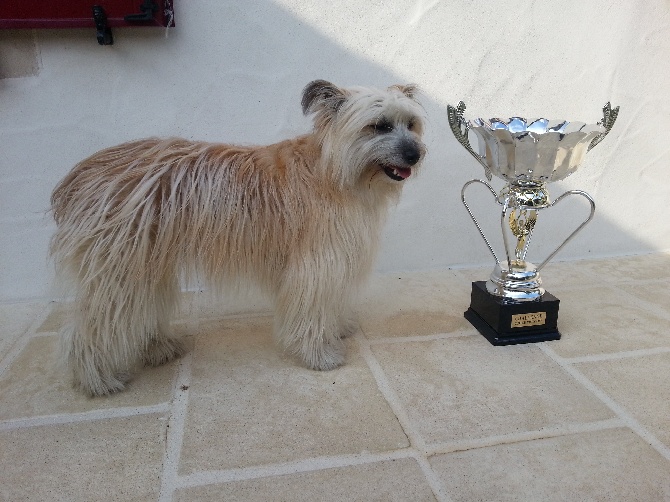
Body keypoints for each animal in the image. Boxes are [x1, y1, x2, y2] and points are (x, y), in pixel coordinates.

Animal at [51, 80, 426, 396]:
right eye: (379, 125)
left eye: (411, 124)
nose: (416, 155)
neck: (334, 171)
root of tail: (82, 171)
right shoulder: (316, 264)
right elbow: (309, 309)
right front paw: (317, 353)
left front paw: (336, 327)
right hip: (120, 268)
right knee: (93, 326)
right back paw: (98, 380)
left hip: (147, 262)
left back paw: (156, 348)